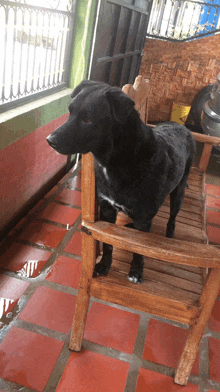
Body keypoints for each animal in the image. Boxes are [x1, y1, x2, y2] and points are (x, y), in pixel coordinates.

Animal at [46, 79, 196, 284]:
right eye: (70, 112)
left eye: (88, 119)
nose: (49, 140)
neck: (118, 160)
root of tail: (181, 126)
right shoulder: (107, 209)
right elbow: (108, 244)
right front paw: (104, 265)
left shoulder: (142, 216)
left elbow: (138, 250)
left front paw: (136, 271)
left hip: (178, 193)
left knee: (172, 219)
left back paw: (169, 235)